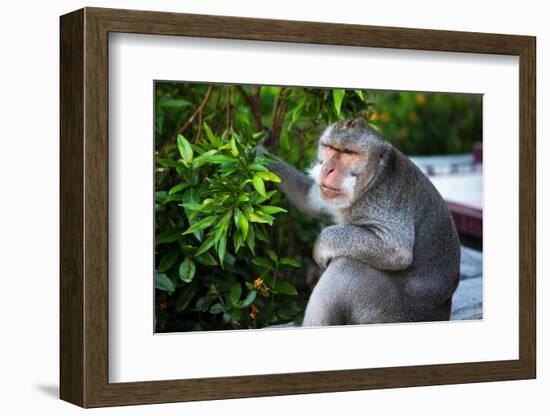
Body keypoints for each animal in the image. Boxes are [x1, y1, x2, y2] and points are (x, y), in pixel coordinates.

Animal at [262, 116, 462, 324]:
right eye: (331, 148)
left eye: (348, 153)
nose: (327, 169)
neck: (372, 183)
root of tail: (443, 311)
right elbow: (310, 198)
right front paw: (261, 155)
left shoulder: (385, 201)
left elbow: (396, 249)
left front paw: (321, 245)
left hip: (392, 311)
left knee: (346, 267)